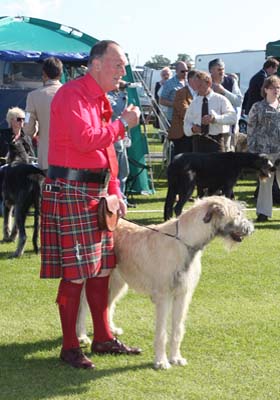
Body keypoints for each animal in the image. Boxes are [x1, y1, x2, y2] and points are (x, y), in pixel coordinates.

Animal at [76, 196, 254, 368]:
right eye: (237, 213)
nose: (251, 229)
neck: (184, 242)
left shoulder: (183, 294)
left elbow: (178, 329)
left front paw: (176, 357)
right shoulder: (164, 296)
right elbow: (162, 332)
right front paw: (161, 361)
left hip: (117, 280)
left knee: (108, 303)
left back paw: (111, 329)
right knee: (84, 304)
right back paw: (82, 335)